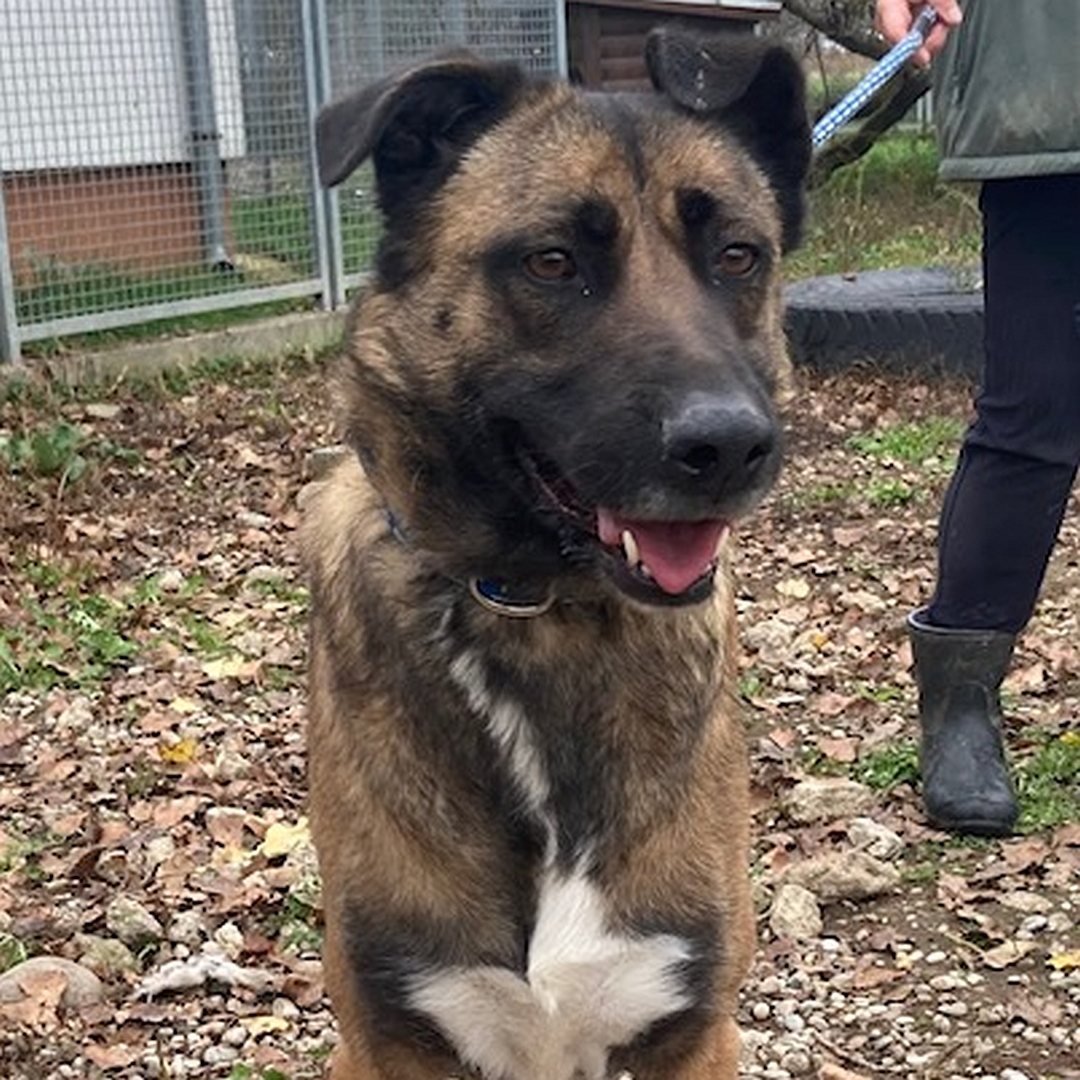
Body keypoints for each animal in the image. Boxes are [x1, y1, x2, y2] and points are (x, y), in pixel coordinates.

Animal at [304, 29, 812, 1080]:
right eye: (551, 262)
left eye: (738, 255)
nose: (729, 448)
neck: (542, 610)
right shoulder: (388, 1035)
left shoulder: (691, 1032)